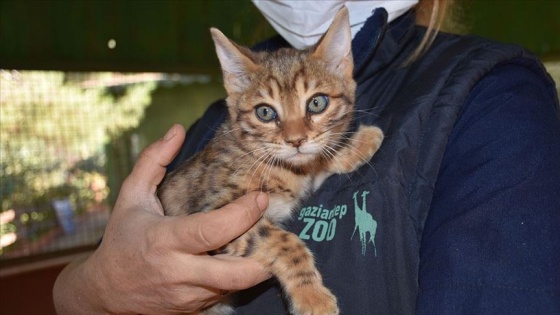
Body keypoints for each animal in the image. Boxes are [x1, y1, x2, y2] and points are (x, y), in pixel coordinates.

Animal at [158, 7, 384, 315]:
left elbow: (317, 162)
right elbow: (287, 242)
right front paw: (312, 296)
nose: (296, 140)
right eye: (265, 112)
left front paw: (357, 144)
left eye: (317, 103)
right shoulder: (216, 213)